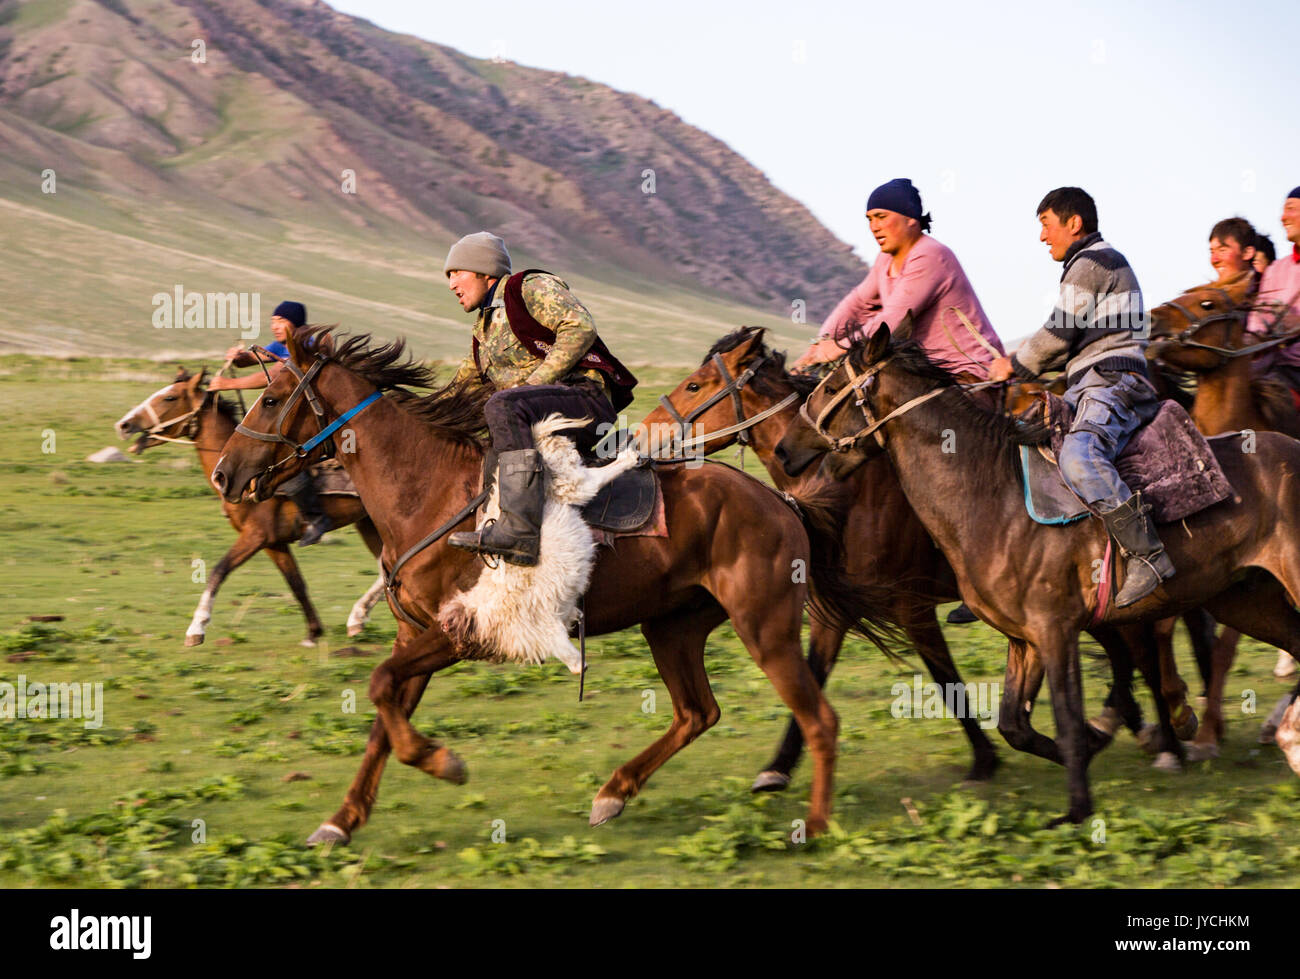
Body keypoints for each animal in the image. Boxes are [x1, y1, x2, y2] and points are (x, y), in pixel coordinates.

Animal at [116, 369, 384, 650]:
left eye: (169, 397)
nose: (124, 425)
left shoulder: (255, 535)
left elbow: (219, 571)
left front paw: (197, 628)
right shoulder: (274, 543)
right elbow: (296, 584)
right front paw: (313, 632)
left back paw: (360, 616)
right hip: (368, 522)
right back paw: (358, 618)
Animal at [210, 328, 894, 842]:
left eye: (270, 401)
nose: (223, 474)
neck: (431, 494)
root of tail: (782, 503)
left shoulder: (458, 635)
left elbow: (380, 688)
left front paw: (443, 762)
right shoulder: (416, 638)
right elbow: (384, 713)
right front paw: (342, 822)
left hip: (765, 628)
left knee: (819, 720)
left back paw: (815, 825)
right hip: (672, 626)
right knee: (698, 712)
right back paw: (613, 794)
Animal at [650, 325, 1196, 785]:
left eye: (695, 386)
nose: (645, 432)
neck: (854, 491)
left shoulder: (911, 608)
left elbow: (947, 681)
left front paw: (984, 758)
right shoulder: (835, 614)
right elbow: (813, 676)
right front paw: (778, 768)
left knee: (1145, 647)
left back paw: (1169, 737)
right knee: (1126, 648)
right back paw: (1135, 722)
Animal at [774, 325, 1300, 821]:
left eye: (828, 386)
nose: (782, 450)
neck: (990, 491)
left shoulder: (1055, 628)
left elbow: (1065, 714)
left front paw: (1077, 806)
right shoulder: (1022, 638)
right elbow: (1015, 726)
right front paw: (1092, 747)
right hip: (1244, 599)